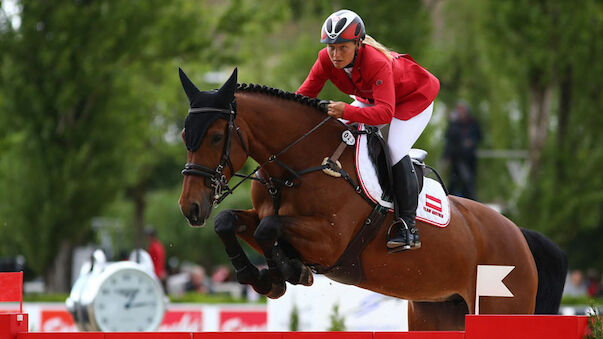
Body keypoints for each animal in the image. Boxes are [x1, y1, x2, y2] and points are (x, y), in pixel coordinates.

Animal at [176, 67, 568, 330]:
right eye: (183, 134)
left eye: (215, 137)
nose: (190, 208)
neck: (295, 165)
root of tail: (519, 235)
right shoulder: (265, 218)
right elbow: (231, 222)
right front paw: (263, 277)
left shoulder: (329, 242)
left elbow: (268, 228)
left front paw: (286, 273)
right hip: (438, 310)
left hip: (500, 305)